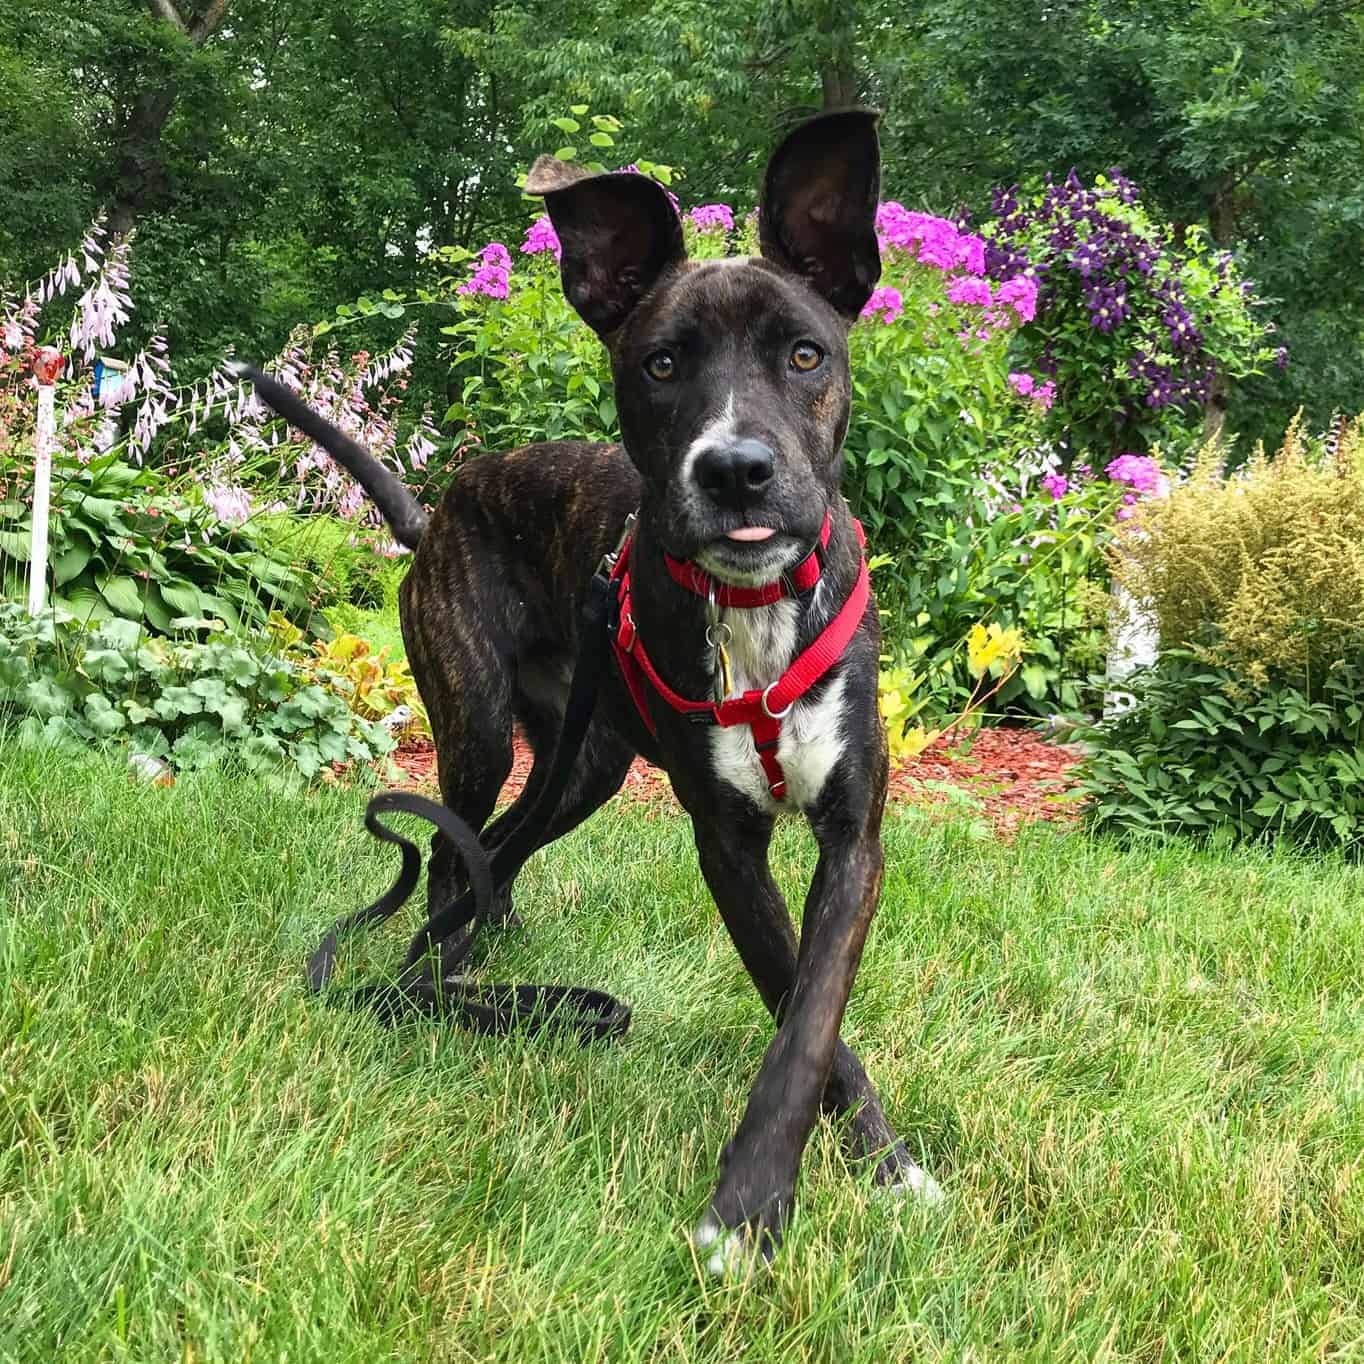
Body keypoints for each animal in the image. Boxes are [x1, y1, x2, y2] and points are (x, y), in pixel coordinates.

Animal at [237, 111, 938, 1271]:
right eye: (660, 363)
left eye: (806, 354)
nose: (735, 470)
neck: (749, 608)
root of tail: (440, 508)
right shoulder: (726, 842)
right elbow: (791, 996)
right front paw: (751, 1208)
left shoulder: (854, 834)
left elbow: (812, 1013)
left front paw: (876, 1169)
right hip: (477, 725)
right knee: (450, 843)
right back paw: (439, 984)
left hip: (586, 762)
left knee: (496, 847)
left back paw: (481, 952)